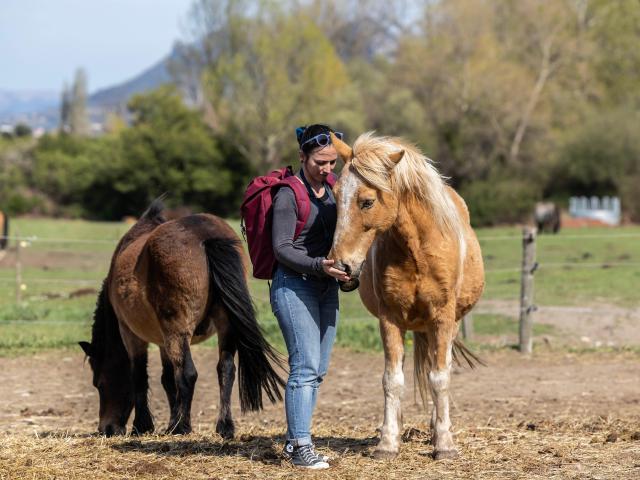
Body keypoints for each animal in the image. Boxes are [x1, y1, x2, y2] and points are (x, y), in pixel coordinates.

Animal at [79, 199, 284, 436]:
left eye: (99, 383)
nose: (107, 428)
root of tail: (204, 235)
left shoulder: (131, 334)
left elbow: (139, 377)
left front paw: (143, 425)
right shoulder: (162, 341)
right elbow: (167, 379)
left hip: (178, 330)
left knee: (187, 374)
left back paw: (181, 426)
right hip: (224, 327)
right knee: (225, 369)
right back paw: (224, 426)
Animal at [330, 132, 484, 462]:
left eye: (367, 201)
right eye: (334, 197)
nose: (340, 265)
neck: (417, 251)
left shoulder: (442, 318)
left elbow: (440, 377)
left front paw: (444, 443)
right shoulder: (389, 319)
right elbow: (392, 380)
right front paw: (388, 442)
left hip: (448, 326)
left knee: (441, 369)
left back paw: (438, 428)